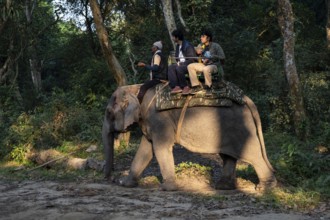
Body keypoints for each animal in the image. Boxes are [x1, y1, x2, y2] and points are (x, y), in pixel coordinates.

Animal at [102, 84, 278, 191]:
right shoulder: (148, 121)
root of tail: (248, 100)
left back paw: (264, 189)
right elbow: (145, 150)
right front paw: (125, 184)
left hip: (241, 127)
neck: (137, 89)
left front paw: (166, 188)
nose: (112, 179)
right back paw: (222, 187)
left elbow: (160, 148)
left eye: (108, 113)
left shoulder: (159, 119)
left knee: (253, 155)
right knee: (228, 156)